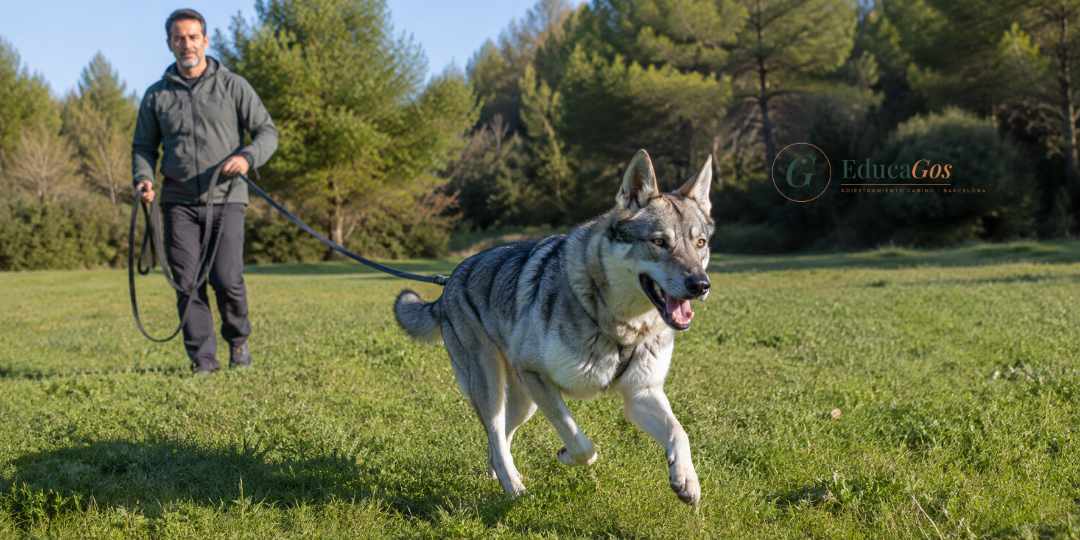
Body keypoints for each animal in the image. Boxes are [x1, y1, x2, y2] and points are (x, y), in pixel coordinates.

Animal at [394, 149, 713, 505]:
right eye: (659, 242)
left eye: (700, 243)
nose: (701, 285)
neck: (621, 326)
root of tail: (448, 283)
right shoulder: (540, 378)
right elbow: (581, 442)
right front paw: (565, 455)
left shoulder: (641, 393)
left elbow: (679, 432)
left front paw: (686, 480)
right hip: (494, 387)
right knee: (496, 434)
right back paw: (514, 488)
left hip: (524, 402)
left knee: (499, 438)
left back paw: (501, 476)